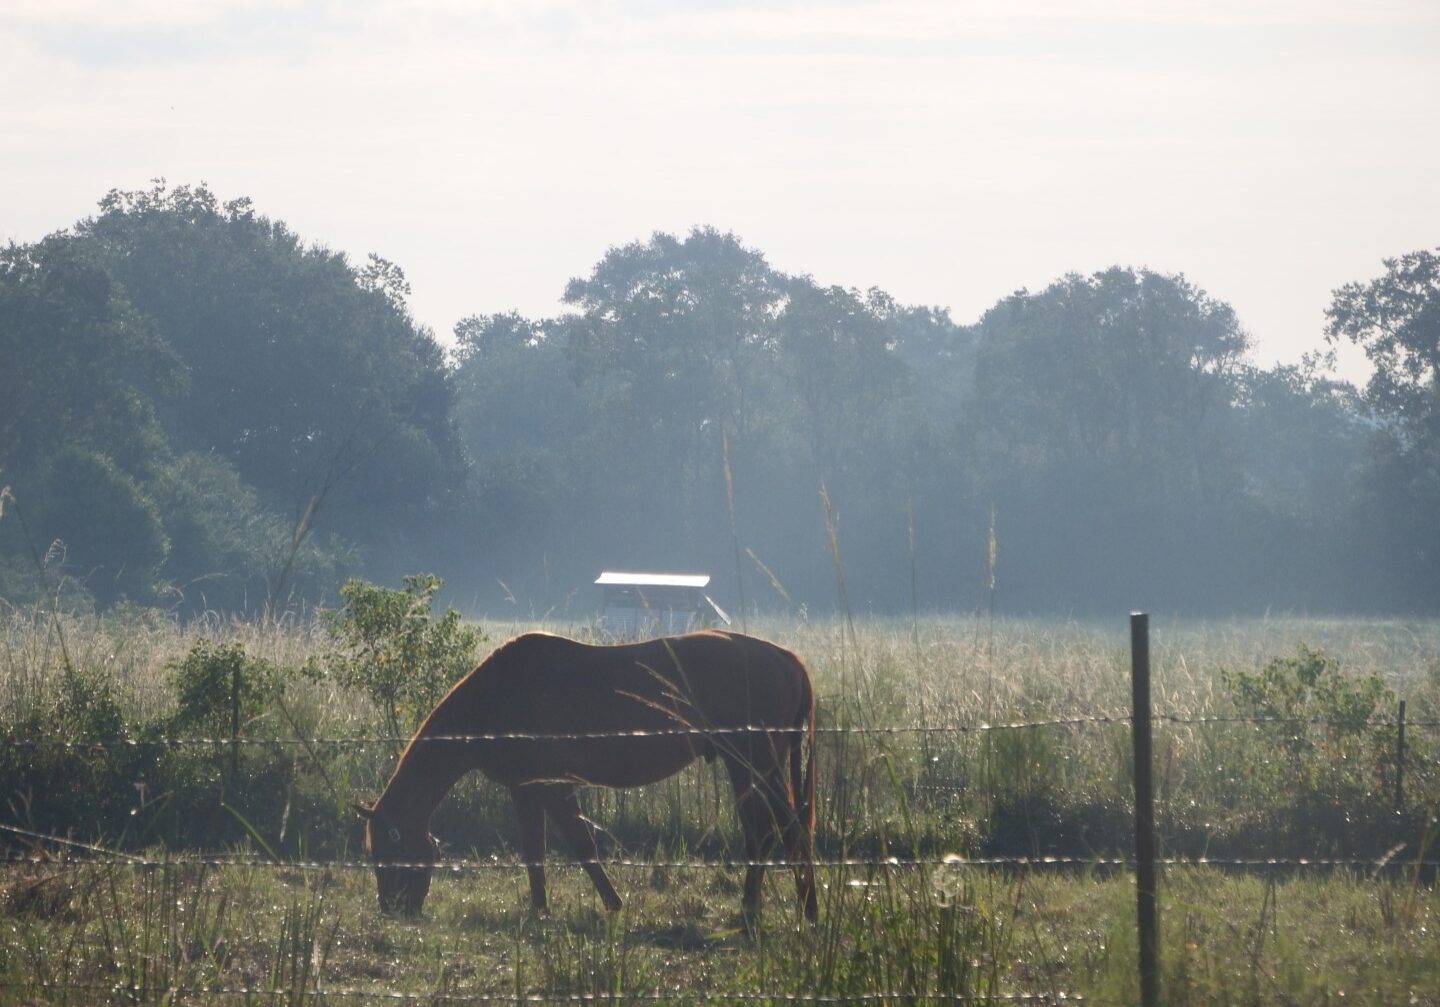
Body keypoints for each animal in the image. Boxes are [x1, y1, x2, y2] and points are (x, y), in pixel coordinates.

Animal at [355, 633, 817, 927]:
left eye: (387, 855)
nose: (391, 908)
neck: (495, 696)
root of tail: (787, 658)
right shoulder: (527, 790)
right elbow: (535, 853)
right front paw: (540, 912)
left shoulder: (554, 788)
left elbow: (581, 847)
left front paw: (611, 904)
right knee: (775, 831)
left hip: (753, 764)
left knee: (775, 829)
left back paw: (774, 909)